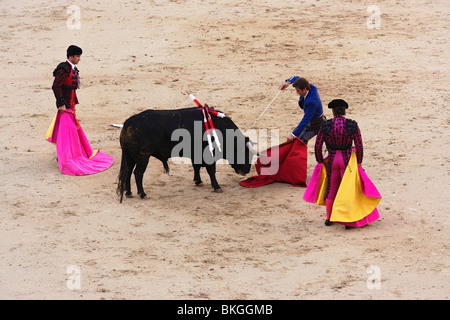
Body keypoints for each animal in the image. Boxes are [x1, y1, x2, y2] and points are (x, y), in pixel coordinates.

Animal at [117, 107, 260, 202]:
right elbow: (211, 171)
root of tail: (130, 121)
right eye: (244, 153)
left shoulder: (196, 154)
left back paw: (129, 192)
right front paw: (217, 187)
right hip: (142, 157)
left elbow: (196, 166)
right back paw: (142, 194)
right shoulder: (209, 155)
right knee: (137, 173)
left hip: (130, 157)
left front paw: (198, 181)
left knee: (128, 172)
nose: (246, 171)